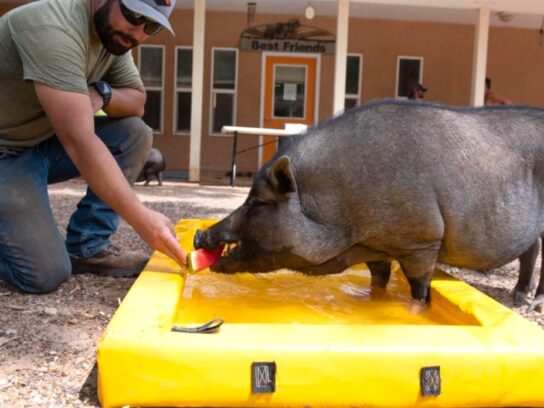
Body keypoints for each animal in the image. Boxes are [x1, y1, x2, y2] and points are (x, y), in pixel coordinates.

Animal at [194, 99, 544, 310]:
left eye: (257, 201)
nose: (200, 235)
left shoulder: (422, 241)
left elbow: (420, 286)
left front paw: (417, 309)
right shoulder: (378, 249)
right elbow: (379, 281)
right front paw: (372, 301)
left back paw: (530, 302)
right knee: (532, 248)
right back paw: (522, 298)